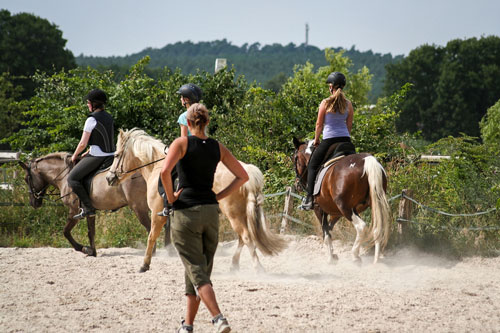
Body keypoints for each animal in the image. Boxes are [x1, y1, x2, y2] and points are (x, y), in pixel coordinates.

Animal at [18, 152, 150, 255]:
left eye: (26, 179)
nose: (33, 203)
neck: (64, 176)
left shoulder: (74, 210)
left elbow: (66, 231)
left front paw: (82, 248)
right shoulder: (89, 211)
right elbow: (91, 231)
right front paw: (92, 251)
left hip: (138, 207)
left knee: (149, 227)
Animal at [105, 128, 286, 272]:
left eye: (116, 155)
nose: (109, 178)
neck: (156, 168)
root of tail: (247, 171)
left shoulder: (158, 214)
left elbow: (151, 236)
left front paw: (145, 264)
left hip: (234, 214)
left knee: (246, 237)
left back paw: (257, 268)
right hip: (240, 214)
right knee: (242, 238)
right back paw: (234, 265)